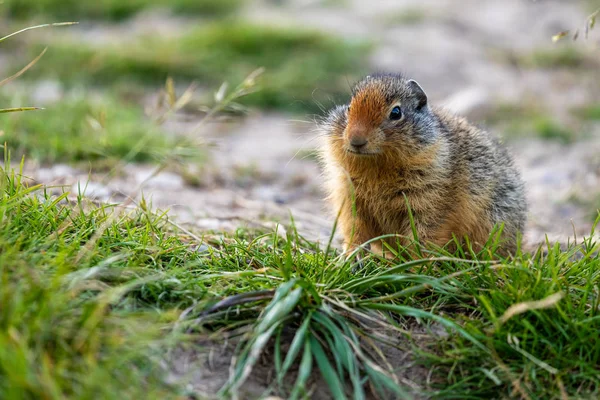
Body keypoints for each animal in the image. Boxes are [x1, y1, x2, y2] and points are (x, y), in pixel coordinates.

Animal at [318, 72, 524, 256]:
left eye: (396, 112)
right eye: (349, 107)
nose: (356, 140)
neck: (377, 167)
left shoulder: (430, 201)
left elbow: (424, 237)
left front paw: (417, 265)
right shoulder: (348, 195)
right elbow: (355, 230)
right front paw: (352, 257)